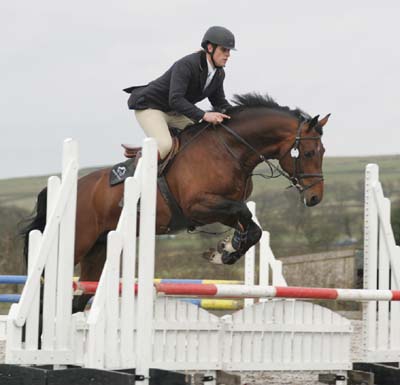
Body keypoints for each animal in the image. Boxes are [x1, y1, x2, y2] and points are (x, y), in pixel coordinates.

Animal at [20, 92, 330, 308]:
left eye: (323, 151)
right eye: (309, 152)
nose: (315, 197)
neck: (230, 150)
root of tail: (67, 188)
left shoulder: (220, 209)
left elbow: (251, 228)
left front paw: (225, 249)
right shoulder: (199, 206)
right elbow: (244, 215)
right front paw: (226, 250)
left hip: (97, 251)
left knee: (78, 299)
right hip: (76, 242)